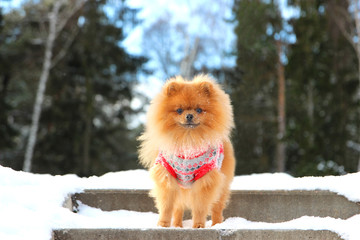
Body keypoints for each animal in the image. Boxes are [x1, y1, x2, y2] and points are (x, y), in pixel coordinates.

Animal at [139, 75, 236, 229]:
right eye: (179, 110)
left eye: (199, 110)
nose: (189, 115)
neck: (188, 140)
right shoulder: (167, 175)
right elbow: (166, 205)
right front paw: (163, 224)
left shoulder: (205, 178)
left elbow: (200, 206)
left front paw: (199, 225)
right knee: (178, 207)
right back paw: (177, 225)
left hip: (222, 183)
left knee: (217, 207)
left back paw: (217, 224)